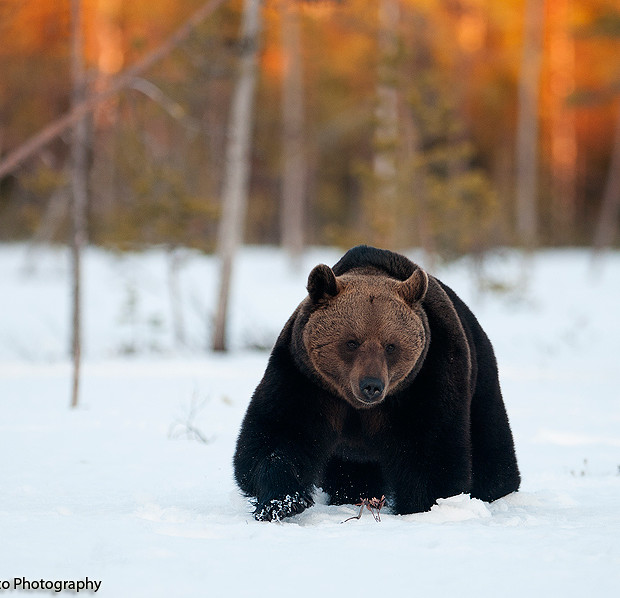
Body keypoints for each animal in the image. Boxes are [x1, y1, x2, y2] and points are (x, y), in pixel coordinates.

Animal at [232, 246, 520, 524]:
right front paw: (280, 503)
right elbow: (277, 437)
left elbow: (431, 450)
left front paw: (423, 507)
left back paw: (498, 488)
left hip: (479, 378)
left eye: (391, 345)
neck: (358, 408)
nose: (371, 385)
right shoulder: (306, 379)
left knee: (491, 440)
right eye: (351, 342)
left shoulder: (425, 381)